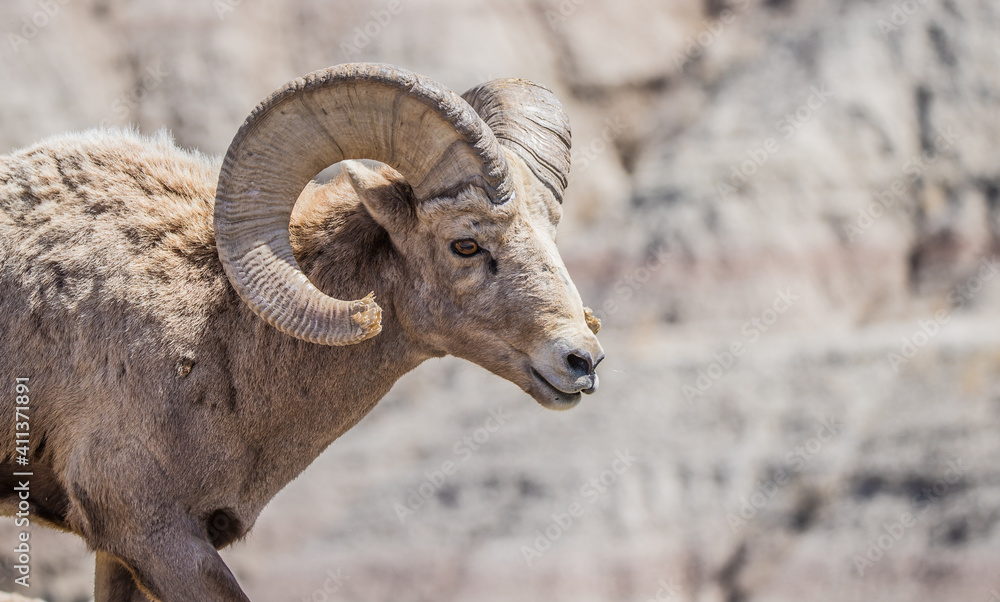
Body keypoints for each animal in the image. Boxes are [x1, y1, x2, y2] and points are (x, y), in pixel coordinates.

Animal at [0, 63, 600, 596]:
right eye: (466, 244)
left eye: (549, 233)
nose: (582, 361)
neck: (216, 346)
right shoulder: (151, 535)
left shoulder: (123, 552)